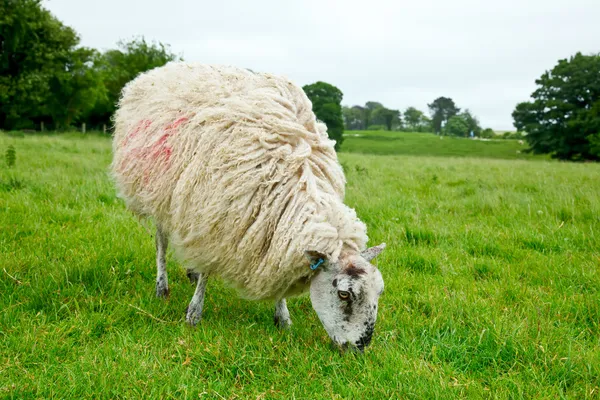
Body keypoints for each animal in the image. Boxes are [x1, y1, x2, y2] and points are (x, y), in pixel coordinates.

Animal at [110, 62, 386, 350]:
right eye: (343, 294)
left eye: (379, 291)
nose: (360, 347)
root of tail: (161, 69)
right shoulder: (214, 215)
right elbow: (207, 269)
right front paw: (194, 313)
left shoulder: (271, 233)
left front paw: (282, 317)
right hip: (159, 195)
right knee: (161, 243)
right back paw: (162, 287)